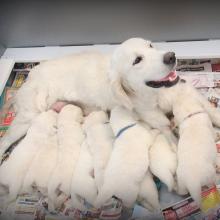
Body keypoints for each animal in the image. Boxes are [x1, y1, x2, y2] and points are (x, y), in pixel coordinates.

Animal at [0, 37, 178, 162]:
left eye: (150, 46)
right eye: (137, 60)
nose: (171, 56)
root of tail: (28, 78)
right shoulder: (147, 112)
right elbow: (165, 126)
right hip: (26, 118)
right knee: (4, 141)